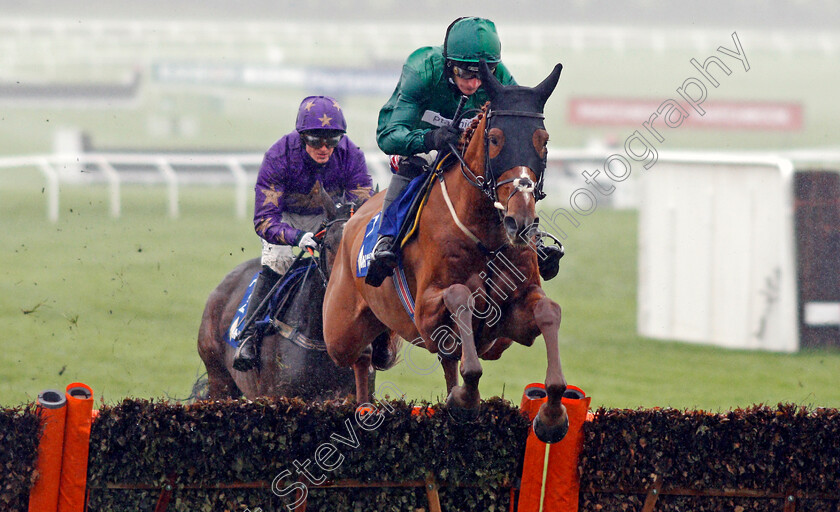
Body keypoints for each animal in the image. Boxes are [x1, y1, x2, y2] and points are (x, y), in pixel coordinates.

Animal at [322, 62, 572, 442]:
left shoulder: (511, 322)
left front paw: (553, 413)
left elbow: (548, 311)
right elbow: (459, 296)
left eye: (542, 140)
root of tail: (353, 218)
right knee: (360, 356)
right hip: (338, 331)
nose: (521, 222)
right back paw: (365, 407)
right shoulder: (424, 313)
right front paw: (466, 399)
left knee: (443, 359)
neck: (486, 236)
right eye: (495, 138)